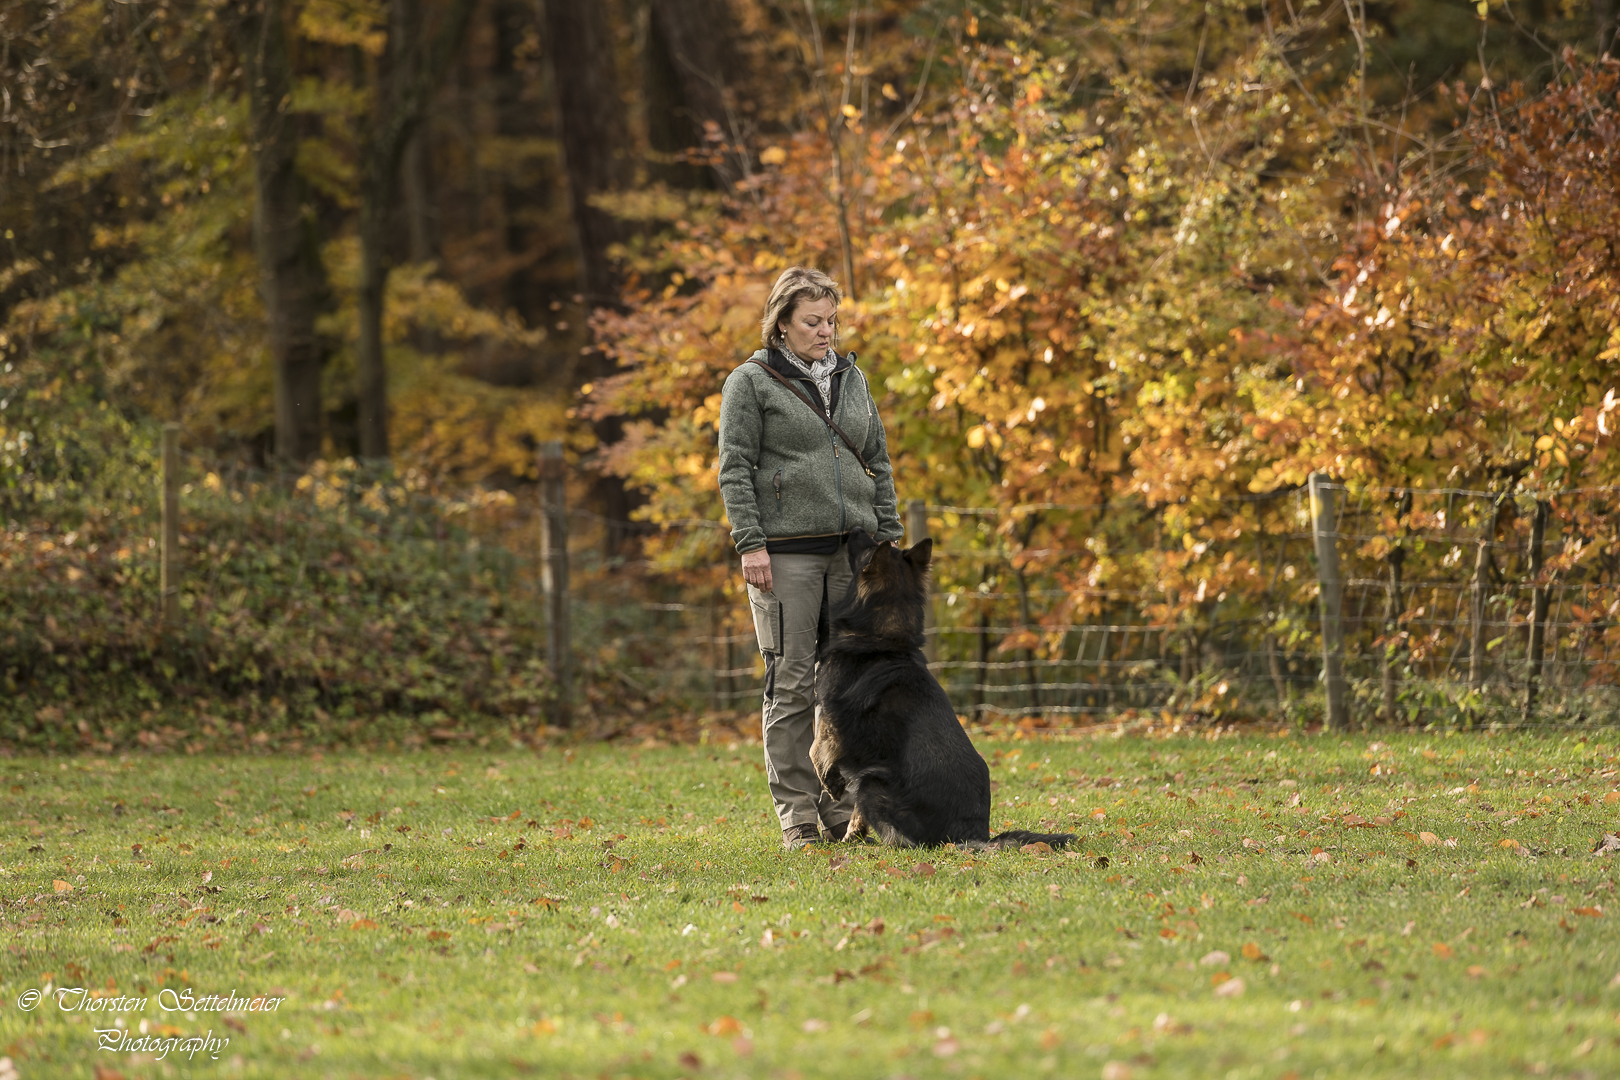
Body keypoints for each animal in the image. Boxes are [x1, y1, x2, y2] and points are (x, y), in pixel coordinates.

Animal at [809, 529, 1075, 851]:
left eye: (869, 547)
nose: (856, 530)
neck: (884, 640)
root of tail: (973, 834)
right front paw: (852, 833)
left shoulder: (831, 714)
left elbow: (816, 749)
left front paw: (831, 783)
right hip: (871, 778)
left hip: (874, 784)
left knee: (904, 838)